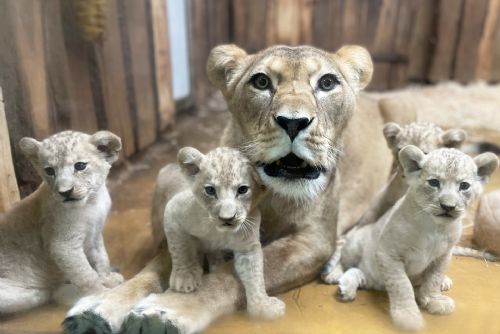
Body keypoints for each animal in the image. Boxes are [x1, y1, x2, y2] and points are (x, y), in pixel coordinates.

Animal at [63, 45, 390, 334]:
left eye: (327, 83)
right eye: (261, 82)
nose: (293, 122)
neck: (270, 194)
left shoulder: (312, 242)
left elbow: (229, 275)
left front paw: (167, 311)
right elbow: (155, 267)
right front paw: (101, 305)